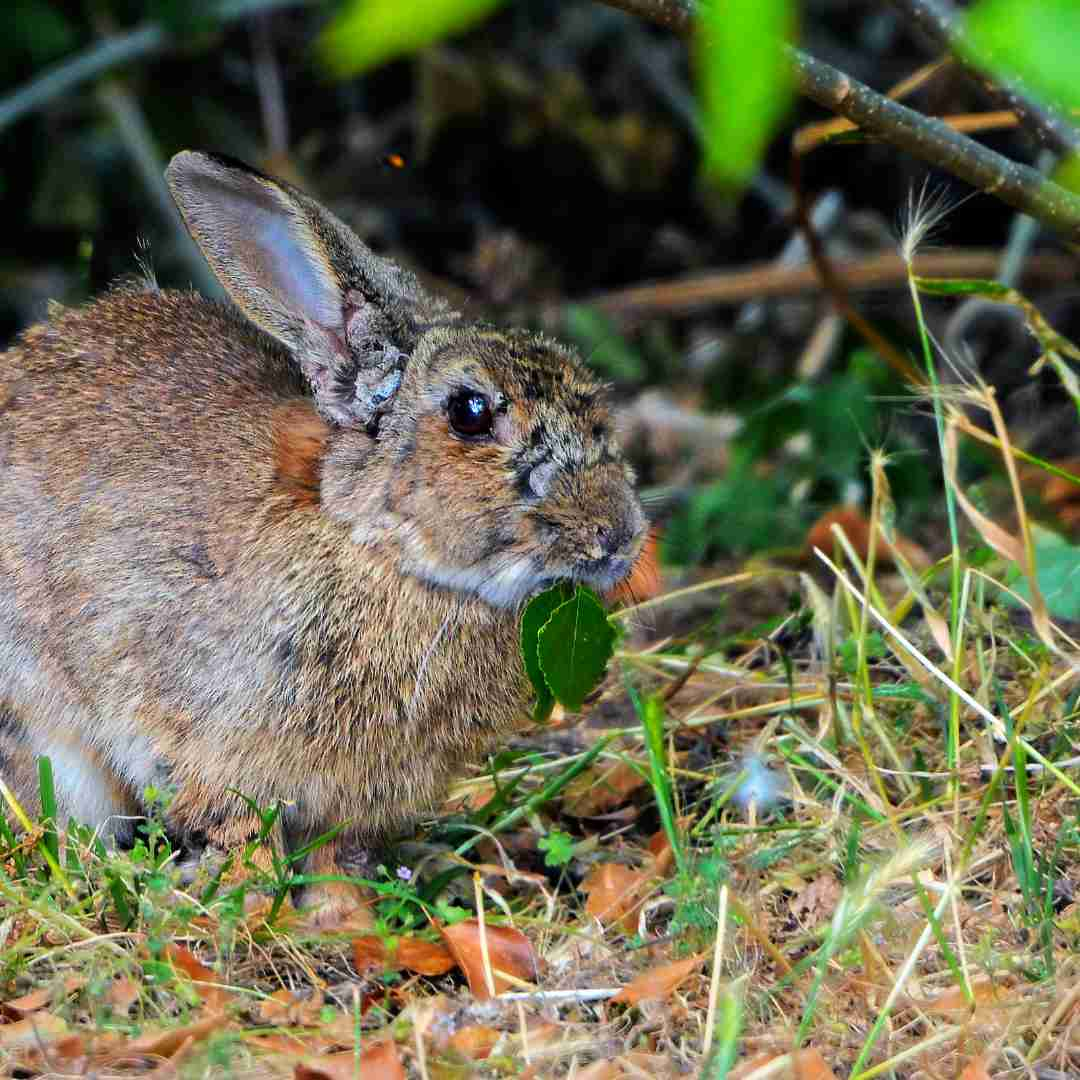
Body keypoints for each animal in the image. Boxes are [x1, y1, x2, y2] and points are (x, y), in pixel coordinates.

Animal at [0, 150, 643, 928]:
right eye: (469, 412)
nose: (618, 536)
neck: (374, 547)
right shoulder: (202, 740)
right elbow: (240, 832)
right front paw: (256, 913)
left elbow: (338, 860)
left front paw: (345, 924)